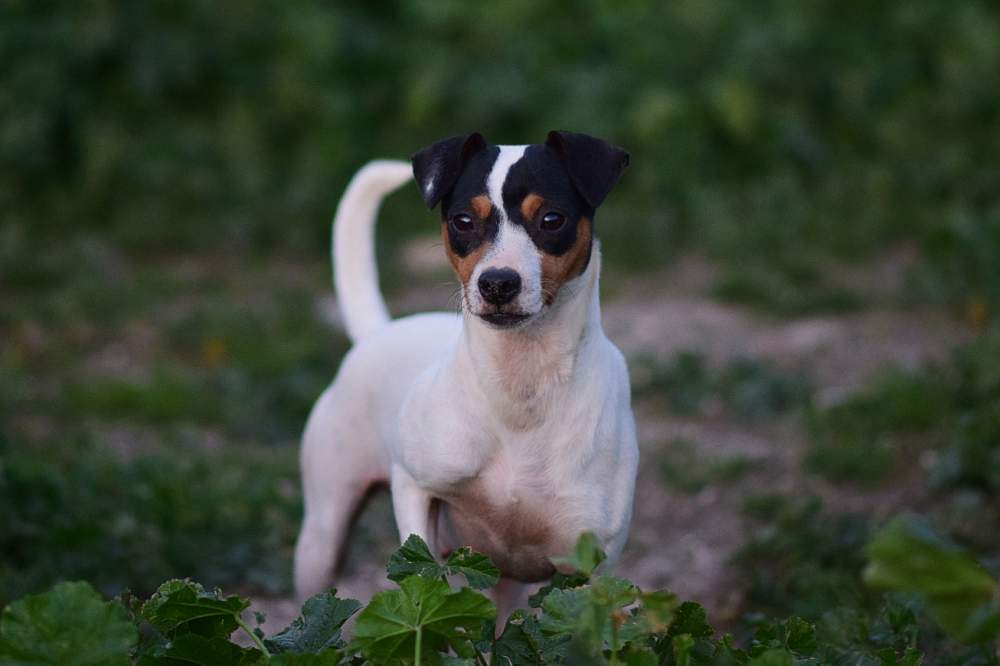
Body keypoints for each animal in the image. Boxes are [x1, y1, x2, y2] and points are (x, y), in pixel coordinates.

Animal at [292, 128, 636, 608]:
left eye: (552, 219)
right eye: (463, 221)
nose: (497, 283)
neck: (520, 390)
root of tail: (379, 331)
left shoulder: (592, 563)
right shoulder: (413, 485)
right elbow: (418, 560)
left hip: (507, 588)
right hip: (321, 537)